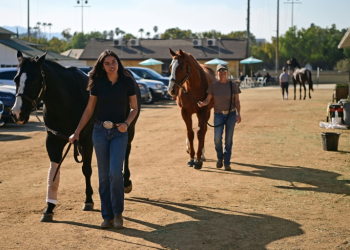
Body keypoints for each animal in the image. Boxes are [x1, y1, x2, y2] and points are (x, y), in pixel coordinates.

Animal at [12, 50, 141, 221]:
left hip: (129, 129)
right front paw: (49, 207)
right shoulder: (53, 141)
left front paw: (88, 200)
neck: (66, 101)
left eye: (33, 81)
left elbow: (86, 169)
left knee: (126, 152)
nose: (17, 113)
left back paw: (126, 183)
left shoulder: (87, 141)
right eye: (15, 79)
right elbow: (54, 172)